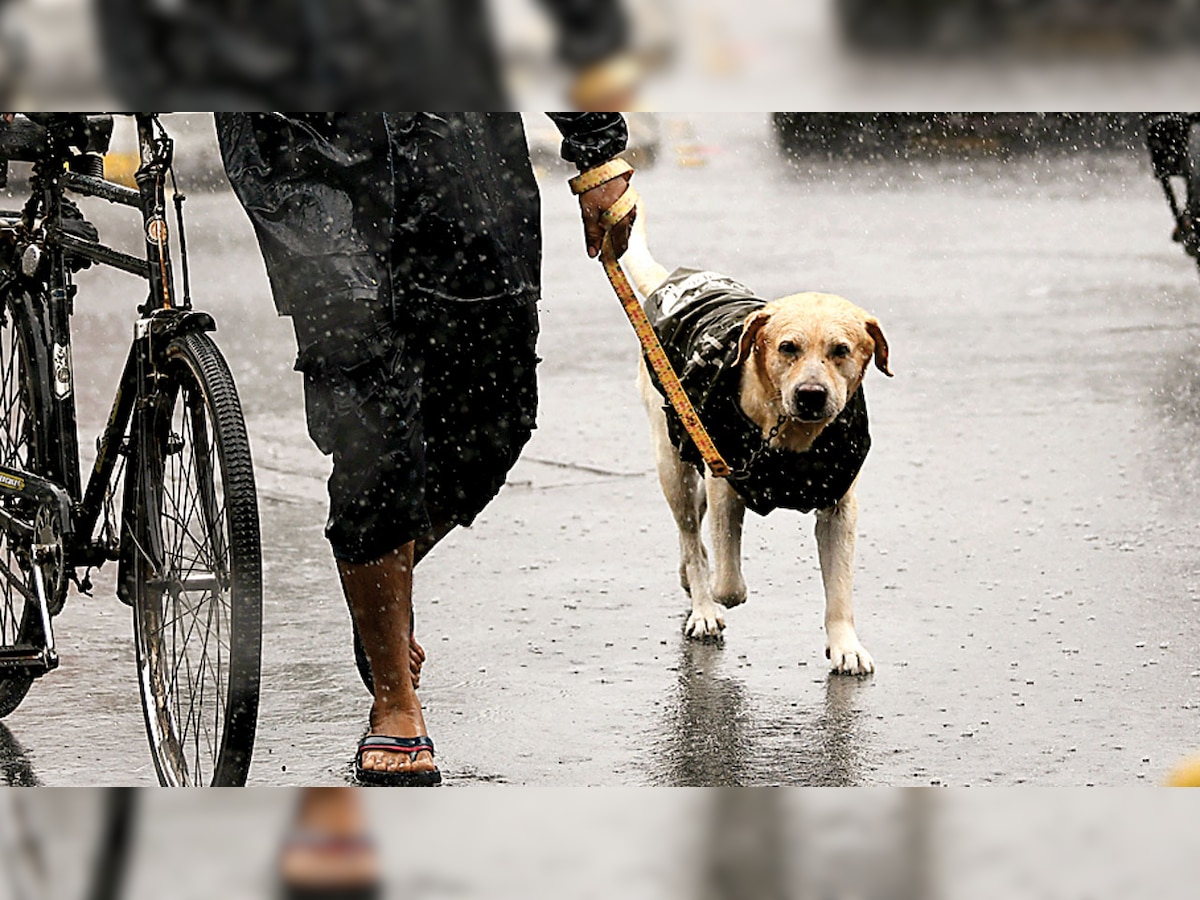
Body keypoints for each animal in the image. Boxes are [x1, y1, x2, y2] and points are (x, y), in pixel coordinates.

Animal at [624, 207, 888, 676]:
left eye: (841, 350)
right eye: (787, 347)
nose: (811, 394)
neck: (792, 434)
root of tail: (666, 285)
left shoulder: (840, 506)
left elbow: (840, 589)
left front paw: (845, 645)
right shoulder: (725, 483)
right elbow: (729, 583)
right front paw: (716, 593)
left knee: (692, 524)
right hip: (672, 459)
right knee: (690, 531)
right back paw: (702, 606)